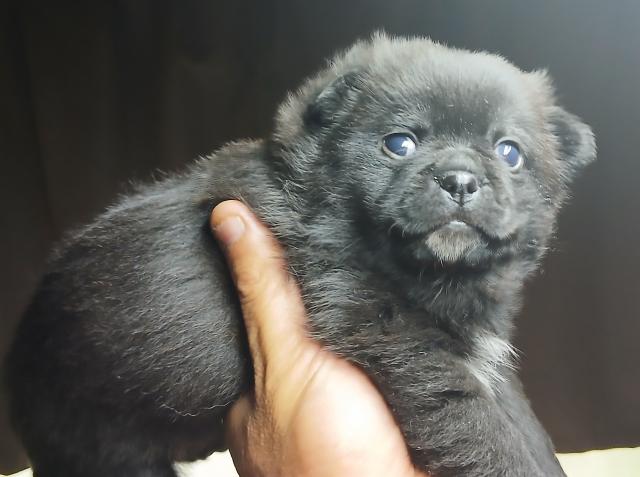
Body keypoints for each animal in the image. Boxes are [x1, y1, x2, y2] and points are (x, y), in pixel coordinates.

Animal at [6, 33, 595, 476]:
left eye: (509, 153)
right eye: (398, 143)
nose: (459, 179)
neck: (437, 276)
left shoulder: (476, 358)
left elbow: (522, 423)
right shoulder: (404, 345)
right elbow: (488, 435)